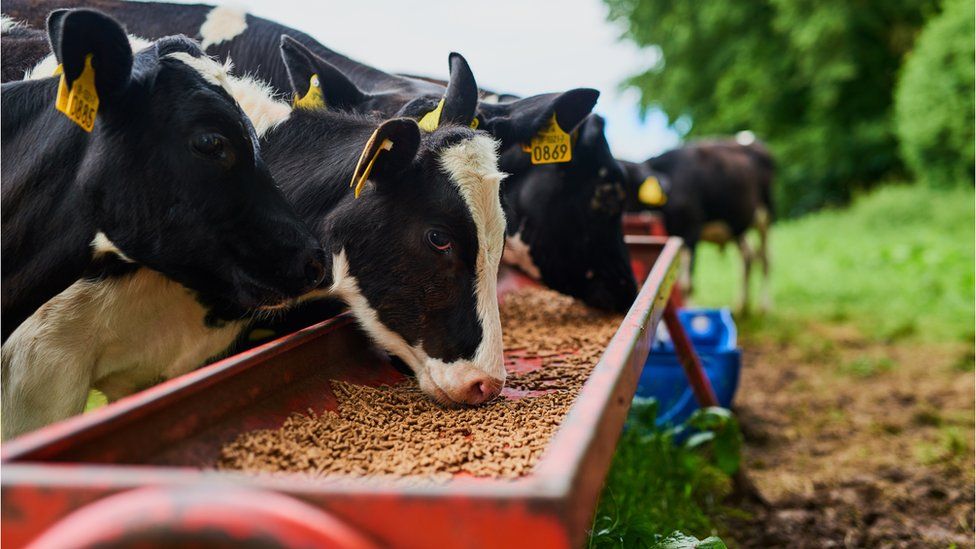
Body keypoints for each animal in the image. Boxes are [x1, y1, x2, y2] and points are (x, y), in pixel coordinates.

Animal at [620, 137, 772, 314]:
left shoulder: (691, 230)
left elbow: (686, 284)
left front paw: (690, 312)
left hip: (765, 216)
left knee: (765, 260)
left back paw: (764, 306)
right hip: (738, 225)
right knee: (748, 257)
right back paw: (742, 306)